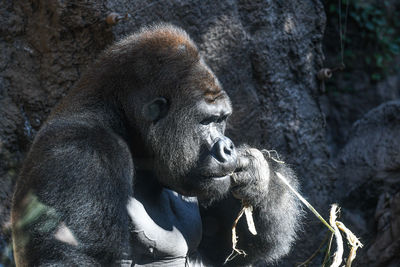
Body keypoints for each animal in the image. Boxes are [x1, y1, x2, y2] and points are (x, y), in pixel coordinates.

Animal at [10, 24, 302, 266]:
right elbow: (75, 256)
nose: (227, 148)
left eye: (221, 120)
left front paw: (259, 177)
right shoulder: (81, 153)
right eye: (206, 121)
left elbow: (223, 249)